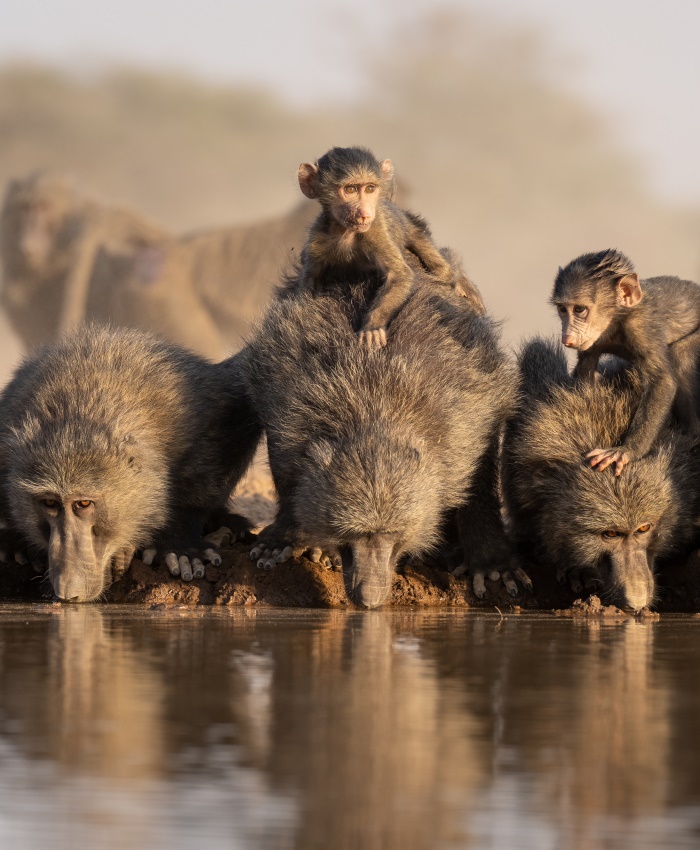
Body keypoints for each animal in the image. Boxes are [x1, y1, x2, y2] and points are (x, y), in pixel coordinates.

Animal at [242, 267, 525, 608]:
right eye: (354, 534)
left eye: (391, 535)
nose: (369, 598)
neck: (376, 406)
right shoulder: (285, 402)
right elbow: (286, 470)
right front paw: (288, 535)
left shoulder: (470, 417)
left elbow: (478, 479)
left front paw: (490, 561)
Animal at [295, 146, 484, 348]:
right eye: (350, 189)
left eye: (370, 189)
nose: (364, 214)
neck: (345, 232)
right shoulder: (317, 239)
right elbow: (310, 283)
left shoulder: (376, 231)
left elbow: (399, 275)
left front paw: (372, 327)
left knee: (442, 270)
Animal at [551, 249, 700, 476]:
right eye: (562, 309)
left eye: (579, 309)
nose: (567, 338)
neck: (617, 318)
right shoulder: (594, 342)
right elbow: (586, 371)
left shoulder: (641, 326)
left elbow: (663, 381)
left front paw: (625, 451)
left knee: (681, 355)